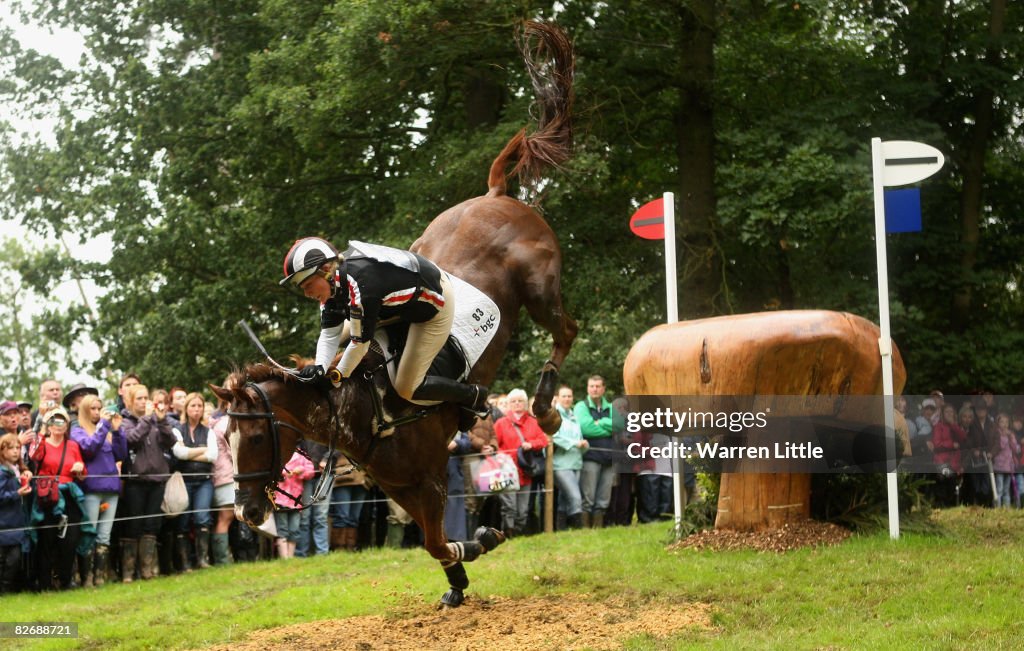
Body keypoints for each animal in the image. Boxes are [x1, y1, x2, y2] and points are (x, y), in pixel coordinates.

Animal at [209, 21, 577, 610]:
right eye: (225, 441)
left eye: (258, 438)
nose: (246, 512)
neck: (360, 407)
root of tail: (497, 195)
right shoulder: (398, 485)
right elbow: (431, 542)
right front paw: (463, 570)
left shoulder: (428, 476)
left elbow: (435, 539)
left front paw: (478, 544)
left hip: (540, 291)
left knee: (566, 330)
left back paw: (544, 409)